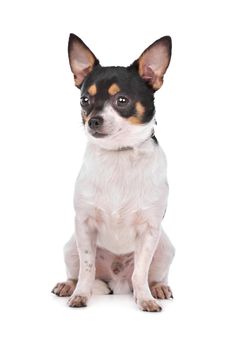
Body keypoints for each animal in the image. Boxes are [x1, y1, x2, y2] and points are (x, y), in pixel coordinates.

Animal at [51, 33, 175, 312]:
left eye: (122, 100)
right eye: (84, 100)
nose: (93, 120)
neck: (119, 154)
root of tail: (116, 282)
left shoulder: (149, 231)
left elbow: (140, 272)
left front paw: (145, 299)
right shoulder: (84, 225)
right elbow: (87, 269)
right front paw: (81, 294)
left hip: (164, 248)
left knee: (151, 275)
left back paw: (157, 288)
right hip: (70, 247)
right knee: (78, 271)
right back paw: (68, 285)